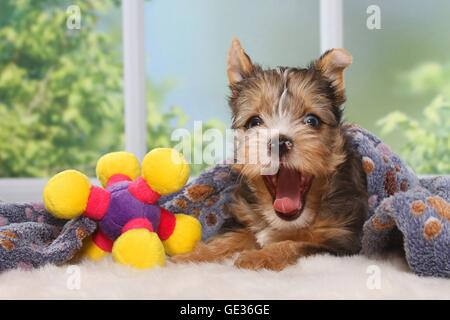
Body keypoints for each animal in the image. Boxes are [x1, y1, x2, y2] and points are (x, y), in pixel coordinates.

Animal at [174, 39, 368, 270]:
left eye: (312, 121)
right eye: (254, 122)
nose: (280, 142)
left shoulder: (341, 239)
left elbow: (297, 244)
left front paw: (259, 257)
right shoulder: (246, 218)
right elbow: (231, 236)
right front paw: (192, 256)